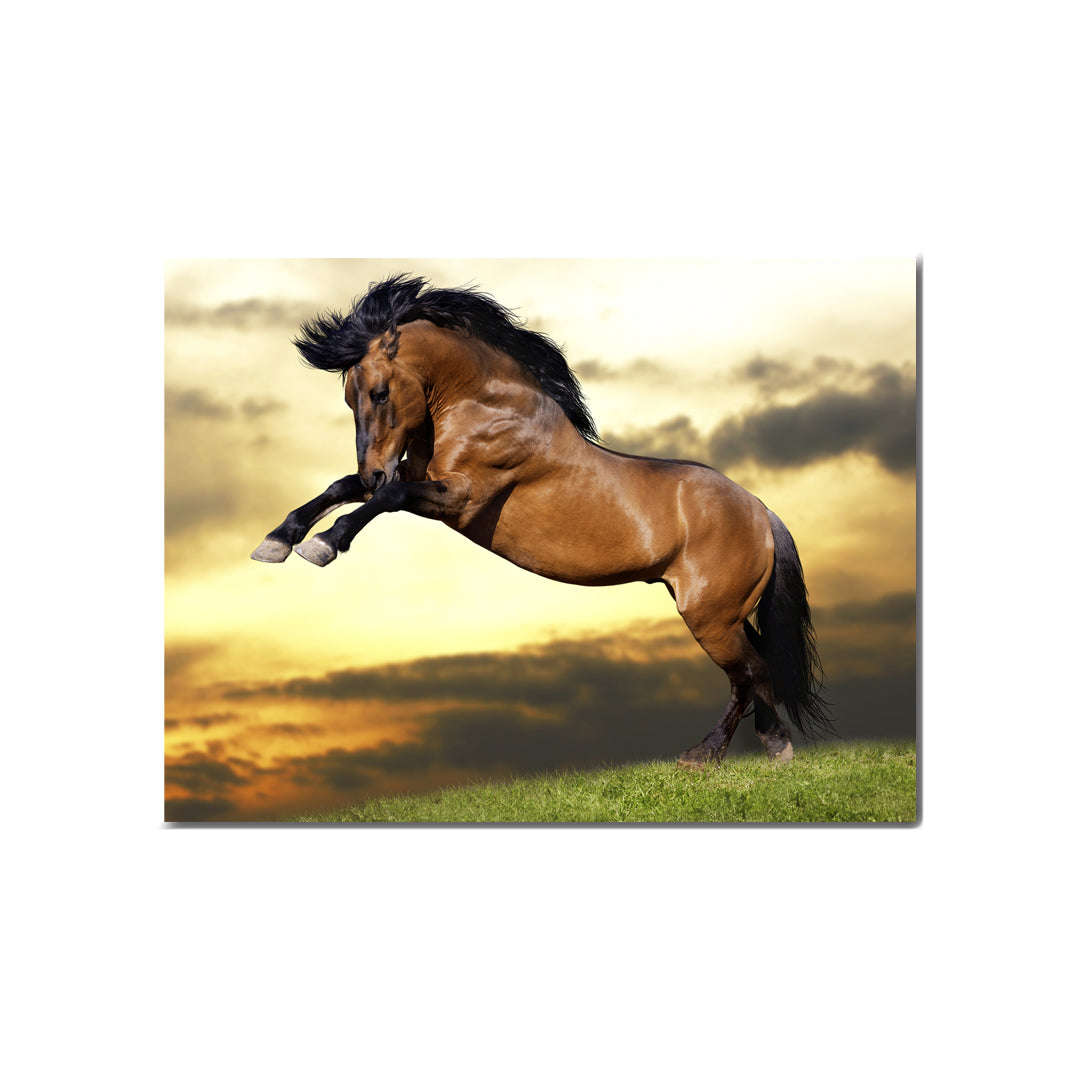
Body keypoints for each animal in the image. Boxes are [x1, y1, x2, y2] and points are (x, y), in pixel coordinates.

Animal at [252, 275, 831, 767]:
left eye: (378, 393)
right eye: (349, 397)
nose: (371, 468)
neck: (482, 406)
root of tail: (761, 510)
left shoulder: (458, 498)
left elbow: (385, 498)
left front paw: (324, 544)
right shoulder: (417, 480)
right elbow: (342, 489)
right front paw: (277, 541)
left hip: (709, 616)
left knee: (748, 673)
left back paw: (713, 754)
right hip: (724, 613)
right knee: (756, 669)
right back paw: (761, 748)